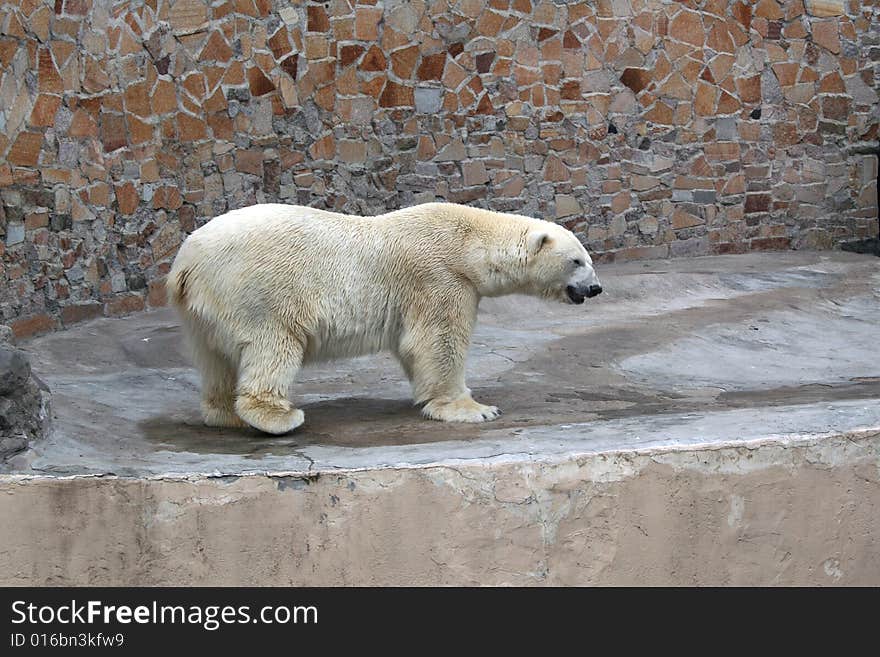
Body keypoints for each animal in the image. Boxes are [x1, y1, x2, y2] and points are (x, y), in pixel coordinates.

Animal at [168, 202, 600, 434]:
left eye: (588, 259)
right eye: (577, 261)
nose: (595, 288)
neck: (468, 245)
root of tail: (185, 263)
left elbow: (412, 347)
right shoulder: (440, 277)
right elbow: (437, 340)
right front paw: (473, 408)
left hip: (202, 313)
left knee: (214, 358)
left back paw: (226, 414)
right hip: (260, 290)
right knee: (272, 344)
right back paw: (277, 417)